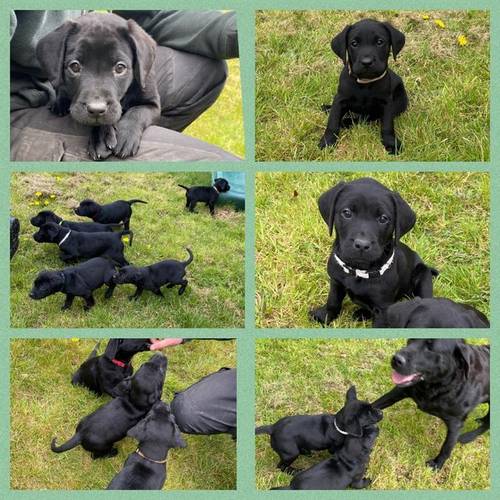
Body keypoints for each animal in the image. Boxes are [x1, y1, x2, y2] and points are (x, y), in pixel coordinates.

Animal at [35, 12, 160, 160]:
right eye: (75, 66)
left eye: (120, 68)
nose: (96, 109)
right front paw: (100, 139)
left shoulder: (153, 104)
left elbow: (137, 111)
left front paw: (125, 135)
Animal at [308, 178, 438, 326]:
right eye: (347, 213)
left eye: (383, 218)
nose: (362, 245)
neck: (359, 271)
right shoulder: (336, 281)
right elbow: (333, 300)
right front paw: (324, 316)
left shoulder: (382, 306)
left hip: (423, 277)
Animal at [318, 18, 408, 153]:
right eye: (354, 43)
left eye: (380, 42)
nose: (367, 62)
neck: (365, 82)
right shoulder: (339, 99)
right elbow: (332, 121)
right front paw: (328, 141)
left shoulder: (387, 103)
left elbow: (387, 125)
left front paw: (391, 143)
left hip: (400, 101)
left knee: (365, 118)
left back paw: (345, 122)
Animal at [374, 338, 490, 470]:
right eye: (410, 340)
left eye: (431, 348)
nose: (396, 359)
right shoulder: (400, 391)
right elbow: (375, 404)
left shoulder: (456, 423)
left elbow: (446, 447)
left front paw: (437, 464)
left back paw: (468, 437)